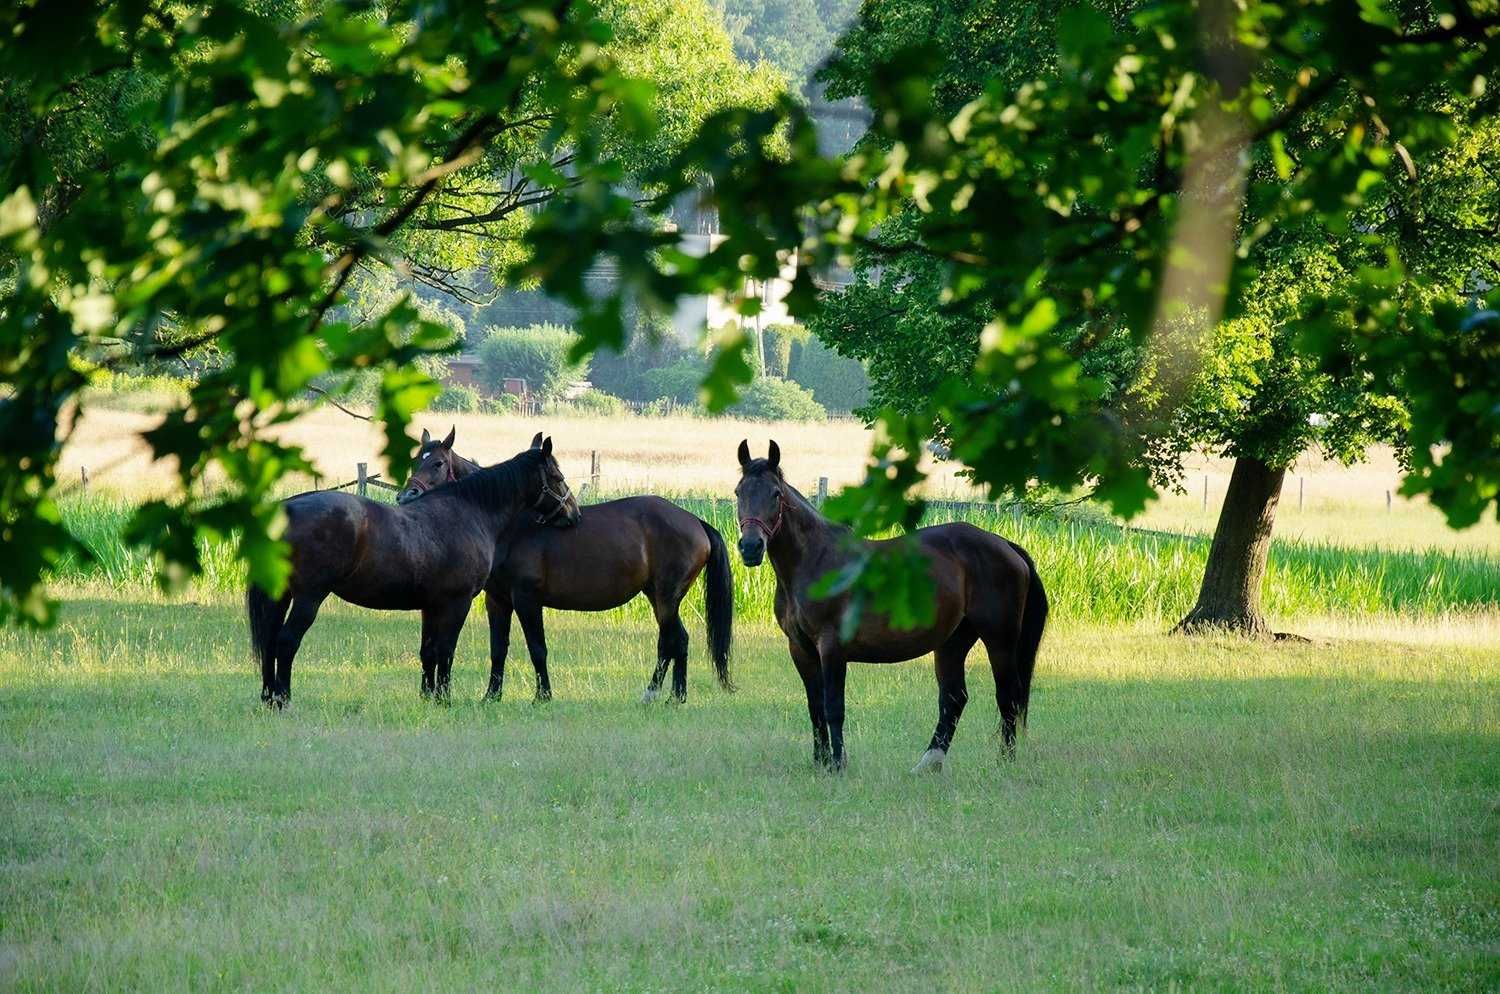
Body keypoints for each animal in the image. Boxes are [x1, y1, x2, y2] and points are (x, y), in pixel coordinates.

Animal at [243, 440, 576, 704]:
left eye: (437, 463)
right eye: (557, 477)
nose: (573, 512)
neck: (469, 512)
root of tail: (286, 507)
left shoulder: (431, 606)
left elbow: (428, 651)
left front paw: (428, 697)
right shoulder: (458, 603)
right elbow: (446, 651)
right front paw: (444, 699)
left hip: (280, 596)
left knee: (270, 642)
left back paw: (268, 698)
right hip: (308, 598)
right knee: (286, 641)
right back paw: (283, 699)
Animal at [396, 431, 729, 704]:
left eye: (438, 463)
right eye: (414, 462)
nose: (405, 496)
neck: (511, 526)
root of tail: (695, 521)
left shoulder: (527, 598)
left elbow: (537, 648)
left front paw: (542, 696)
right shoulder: (498, 600)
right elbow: (498, 649)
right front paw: (491, 696)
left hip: (666, 597)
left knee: (674, 641)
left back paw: (664, 695)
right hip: (657, 597)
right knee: (673, 642)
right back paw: (668, 695)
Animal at [732, 440, 1050, 773]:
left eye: (775, 494)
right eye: (739, 492)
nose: (751, 547)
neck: (815, 562)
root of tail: (1006, 545)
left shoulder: (832, 647)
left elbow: (833, 708)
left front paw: (837, 765)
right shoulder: (801, 650)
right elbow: (815, 707)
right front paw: (821, 763)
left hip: (999, 639)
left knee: (1007, 696)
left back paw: (1005, 761)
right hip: (953, 642)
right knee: (954, 698)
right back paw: (928, 764)